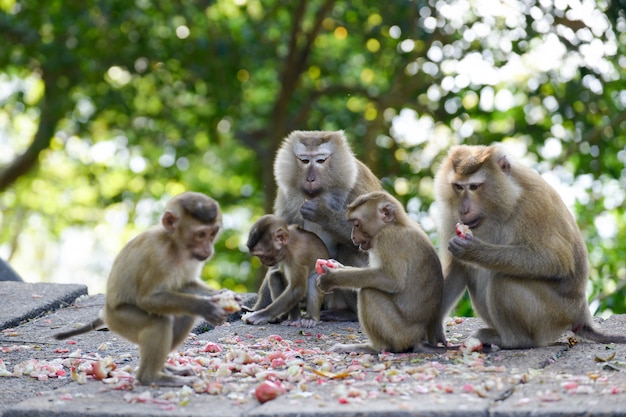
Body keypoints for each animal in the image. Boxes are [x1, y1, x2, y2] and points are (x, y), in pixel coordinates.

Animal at [52, 193, 234, 386]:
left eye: (212, 233)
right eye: (201, 234)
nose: (208, 248)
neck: (174, 245)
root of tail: (106, 313)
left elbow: (184, 285)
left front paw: (221, 296)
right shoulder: (158, 258)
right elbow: (147, 299)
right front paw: (204, 306)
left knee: (183, 315)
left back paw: (164, 369)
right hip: (121, 320)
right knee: (158, 322)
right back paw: (152, 377)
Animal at [272, 130, 380, 318]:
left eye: (321, 160)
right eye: (305, 160)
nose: (310, 178)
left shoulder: (357, 184)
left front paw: (322, 213)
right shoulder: (286, 196)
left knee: (347, 250)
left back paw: (349, 314)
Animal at [314, 191, 442, 352]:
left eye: (356, 224)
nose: (352, 236)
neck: (396, 224)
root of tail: (420, 339)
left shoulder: (388, 238)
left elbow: (390, 280)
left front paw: (332, 278)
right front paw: (336, 266)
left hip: (400, 333)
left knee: (369, 292)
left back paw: (372, 348)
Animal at [432, 145, 624, 350]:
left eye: (474, 186)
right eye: (458, 187)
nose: (464, 209)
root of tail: (581, 314)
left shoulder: (533, 206)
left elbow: (557, 260)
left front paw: (474, 251)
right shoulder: (451, 216)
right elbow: (456, 267)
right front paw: (434, 330)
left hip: (554, 314)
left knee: (503, 280)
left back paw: (512, 341)